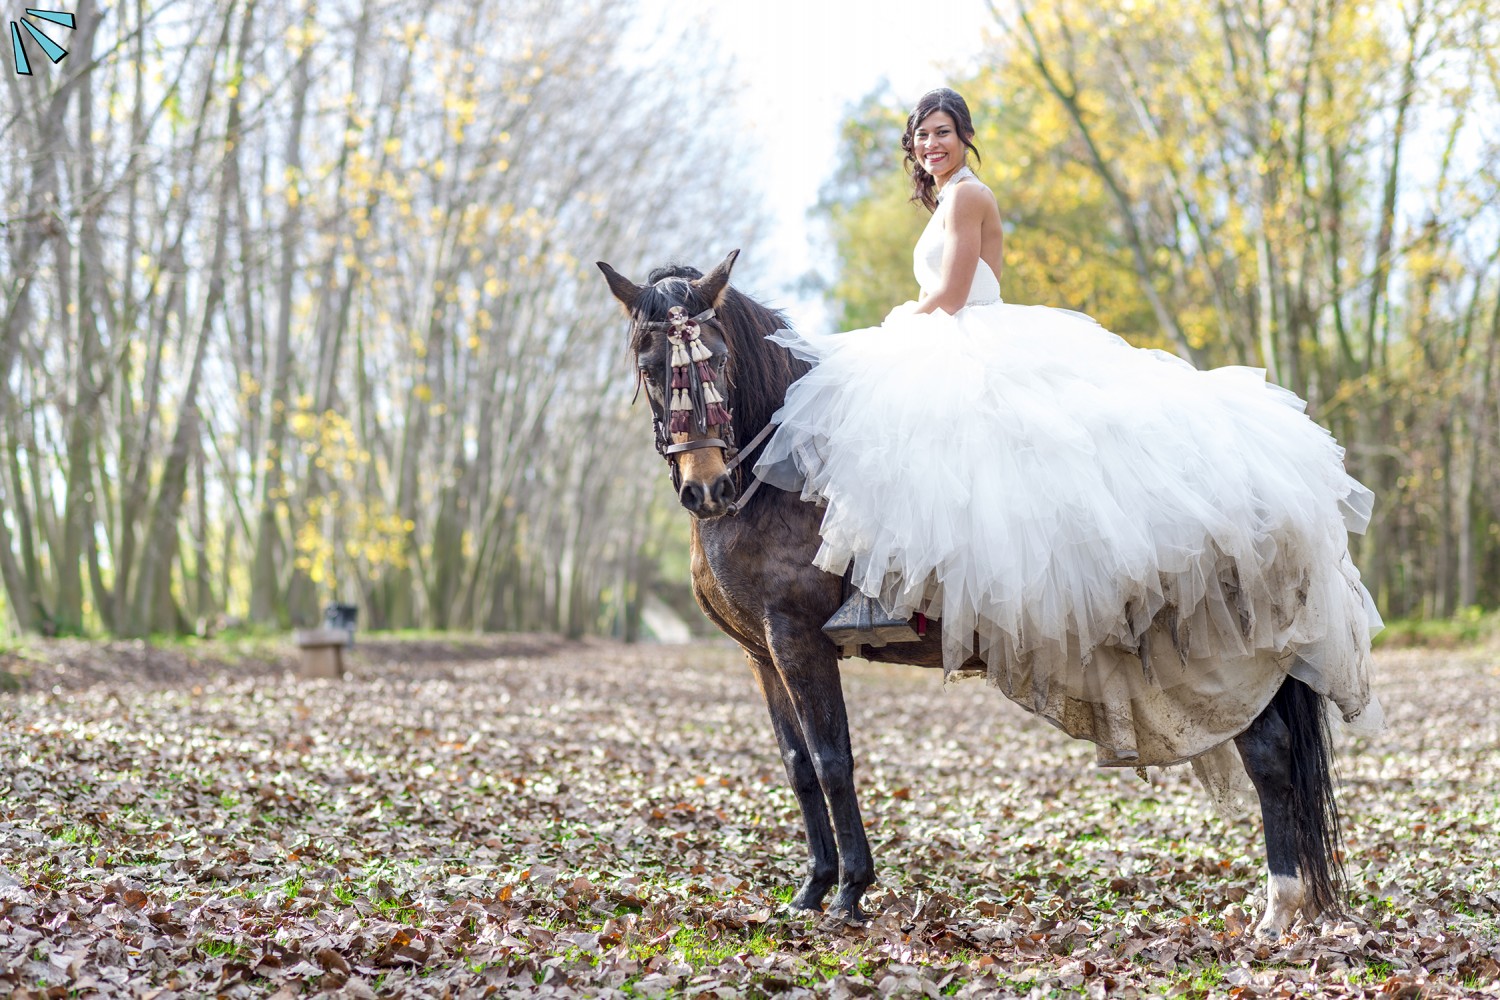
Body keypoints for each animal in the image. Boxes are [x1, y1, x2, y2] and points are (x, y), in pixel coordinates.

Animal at [597, 251, 1350, 947]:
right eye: (648, 365)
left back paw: (1277, 911)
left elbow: (834, 760)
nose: (706, 488)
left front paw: (850, 895)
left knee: (1270, 757)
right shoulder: (761, 653)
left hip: (1223, 652)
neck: (777, 474)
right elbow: (799, 765)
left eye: (719, 357)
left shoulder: (798, 639)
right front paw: (811, 891)